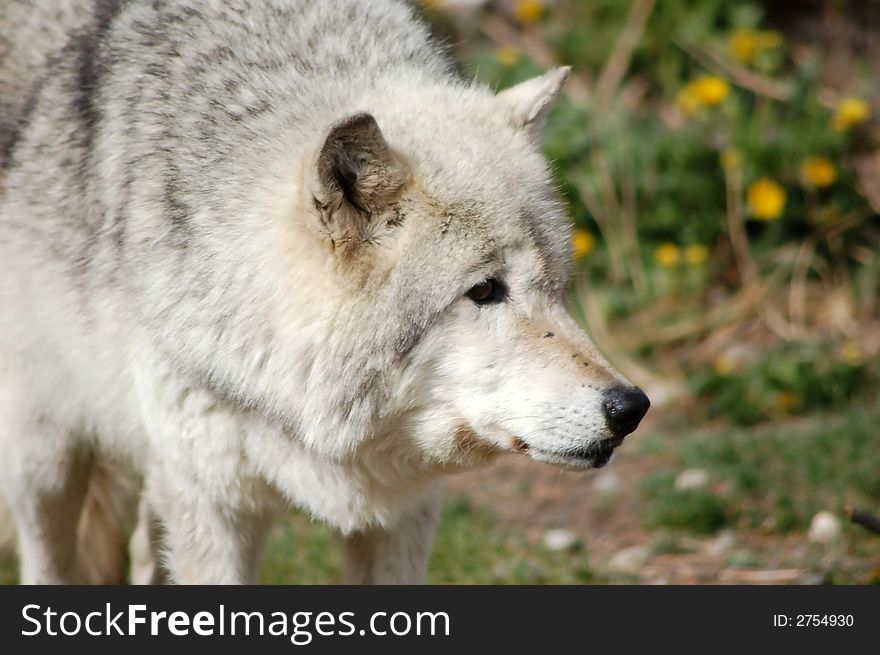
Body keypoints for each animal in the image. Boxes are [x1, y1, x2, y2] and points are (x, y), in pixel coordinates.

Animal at [0, 0, 648, 584]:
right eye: (486, 290)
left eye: (557, 288)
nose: (632, 407)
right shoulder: (212, 504)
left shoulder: (405, 513)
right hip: (45, 455)